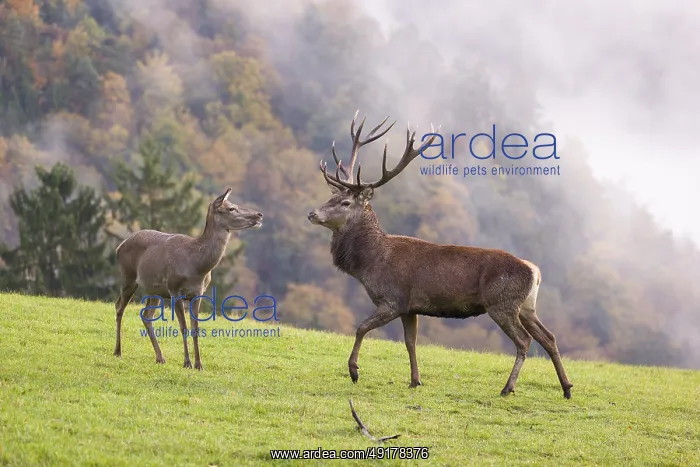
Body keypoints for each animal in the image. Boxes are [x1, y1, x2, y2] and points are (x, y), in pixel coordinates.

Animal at [113, 187, 263, 370]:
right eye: (231, 208)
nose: (259, 215)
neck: (197, 266)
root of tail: (119, 246)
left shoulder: (198, 293)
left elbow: (195, 328)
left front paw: (199, 364)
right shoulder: (174, 288)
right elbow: (183, 327)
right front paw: (187, 362)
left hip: (154, 290)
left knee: (146, 315)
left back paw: (160, 357)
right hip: (128, 275)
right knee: (119, 307)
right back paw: (118, 351)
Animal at [307, 111, 573, 399]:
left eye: (345, 203)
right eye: (331, 198)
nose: (312, 213)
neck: (370, 263)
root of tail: (534, 271)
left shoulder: (393, 299)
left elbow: (361, 328)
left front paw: (354, 371)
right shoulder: (410, 307)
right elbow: (410, 342)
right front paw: (415, 380)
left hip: (502, 303)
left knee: (525, 340)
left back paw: (507, 388)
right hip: (526, 306)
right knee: (549, 337)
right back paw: (567, 388)